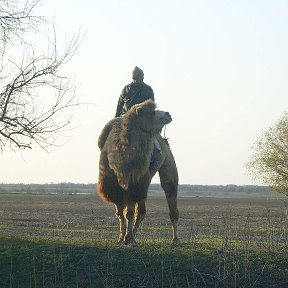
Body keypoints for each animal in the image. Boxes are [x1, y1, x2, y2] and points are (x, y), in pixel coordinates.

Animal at [97, 100, 178, 244]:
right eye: (152, 112)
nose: (168, 114)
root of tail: (164, 141)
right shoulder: (113, 187)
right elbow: (120, 213)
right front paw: (120, 237)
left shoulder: (133, 183)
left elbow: (128, 214)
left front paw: (127, 237)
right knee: (141, 211)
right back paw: (133, 236)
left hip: (165, 165)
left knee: (170, 192)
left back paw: (175, 239)